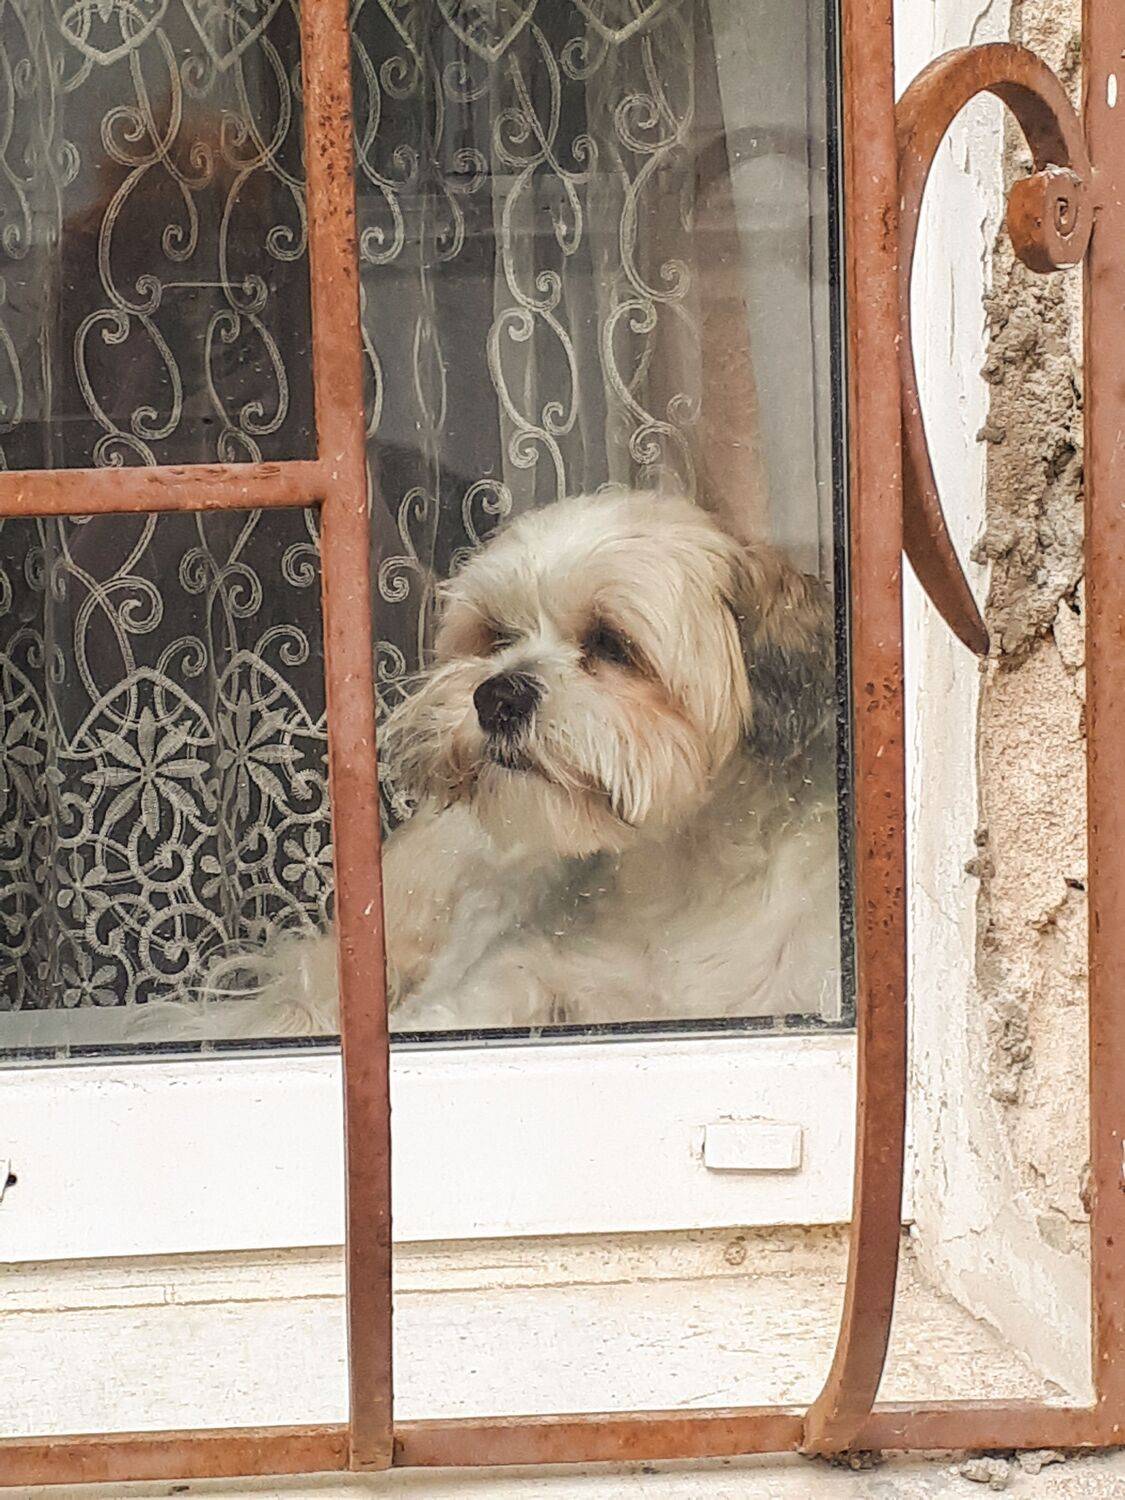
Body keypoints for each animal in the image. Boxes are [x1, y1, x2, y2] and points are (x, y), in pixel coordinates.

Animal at [133, 488, 841, 1039]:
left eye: (612, 644)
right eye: (498, 636)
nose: (497, 694)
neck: (677, 877)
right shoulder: (530, 965)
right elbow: (478, 998)